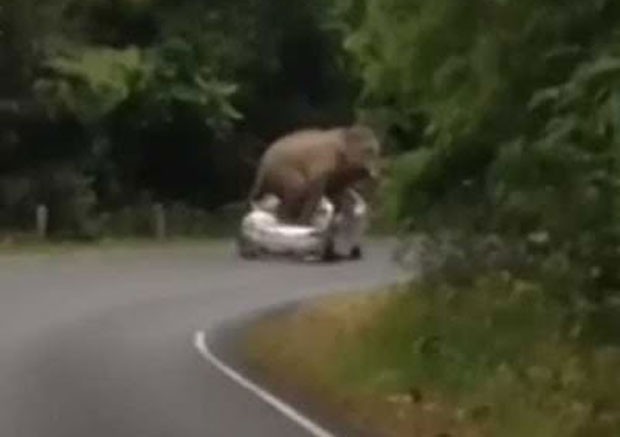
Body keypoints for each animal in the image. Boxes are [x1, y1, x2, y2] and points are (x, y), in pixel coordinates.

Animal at [248, 123, 382, 225]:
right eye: (368, 150)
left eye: (376, 152)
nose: (374, 174)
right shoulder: (323, 162)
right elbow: (315, 191)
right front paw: (303, 223)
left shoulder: (338, 174)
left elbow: (334, 191)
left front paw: (344, 213)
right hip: (281, 172)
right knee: (298, 188)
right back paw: (287, 220)